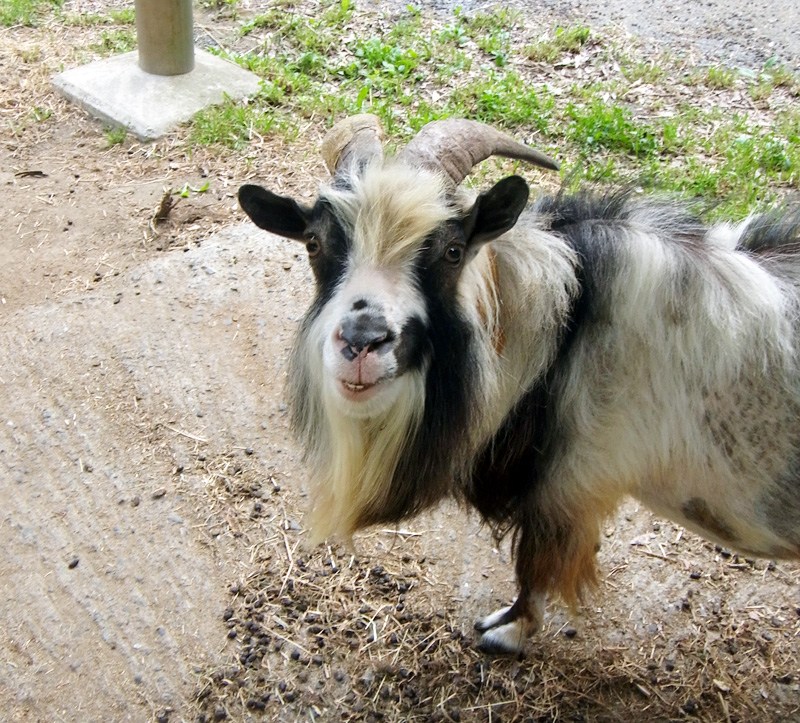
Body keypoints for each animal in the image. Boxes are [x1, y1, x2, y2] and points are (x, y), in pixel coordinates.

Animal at [238, 116, 800, 652]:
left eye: (453, 250)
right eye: (315, 244)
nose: (362, 341)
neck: (570, 316)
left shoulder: (569, 483)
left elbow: (534, 563)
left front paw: (507, 631)